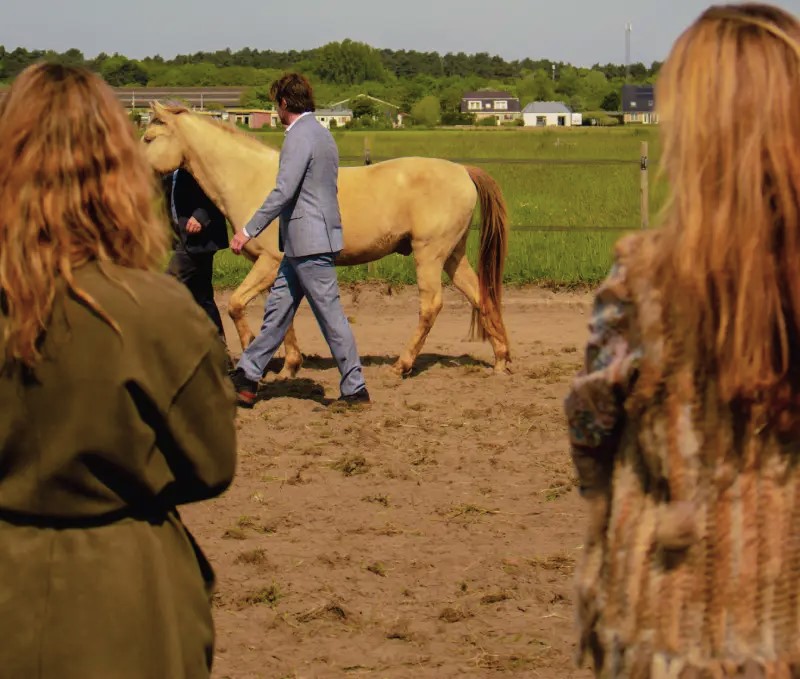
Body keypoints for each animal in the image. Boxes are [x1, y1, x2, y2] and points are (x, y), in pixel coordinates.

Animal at [142, 102, 511, 377]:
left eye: (148, 137)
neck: (253, 180)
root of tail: (463, 171)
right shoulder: (282, 267)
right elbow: (281, 315)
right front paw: (289, 366)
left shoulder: (268, 262)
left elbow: (235, 305)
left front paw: (252, 350)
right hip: (452, 256)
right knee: (481, 296)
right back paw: (501, 360)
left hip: (429, 255)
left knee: (431, 306)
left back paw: (401, 365)